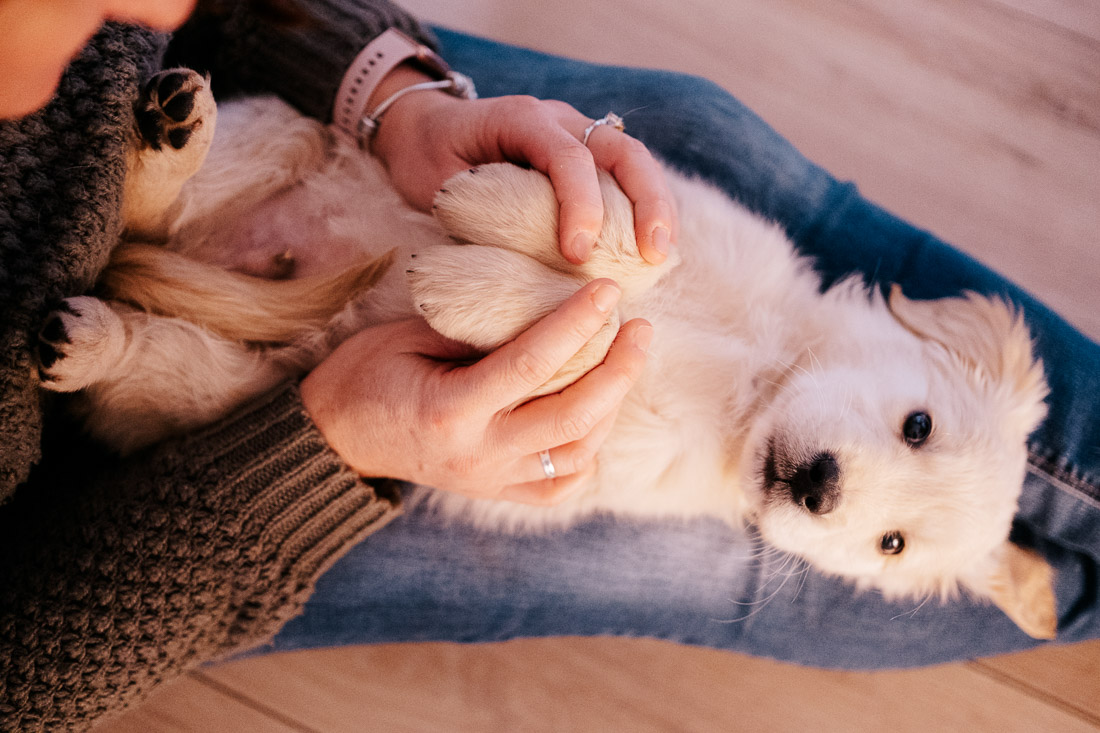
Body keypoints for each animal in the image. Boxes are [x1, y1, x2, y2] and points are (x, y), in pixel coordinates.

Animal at [38, 71, 1056, 638]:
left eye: (891, 544)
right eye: (919, 424)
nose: (817, 489)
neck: (756, 379)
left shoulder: (612, 437)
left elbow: (599, 332)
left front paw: (474, 288)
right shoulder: (675, 214)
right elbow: (631, 248)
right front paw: (503, 216)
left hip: (236, 376)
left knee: (154, 329)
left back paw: (83, 339)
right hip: (290, 138)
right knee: (153, 214)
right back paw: (166, 133)